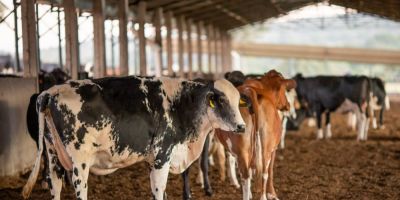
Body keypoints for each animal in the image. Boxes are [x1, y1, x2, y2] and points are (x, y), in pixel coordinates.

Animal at [216, 69, 296, 199]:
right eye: (284, 89)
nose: (288, 105)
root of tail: (250, 91)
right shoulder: (273, 149)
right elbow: (270, 171)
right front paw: (272, 194)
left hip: (242, 150)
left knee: (246, 174)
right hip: (265, 147)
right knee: (262, 173)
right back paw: (262, 196)